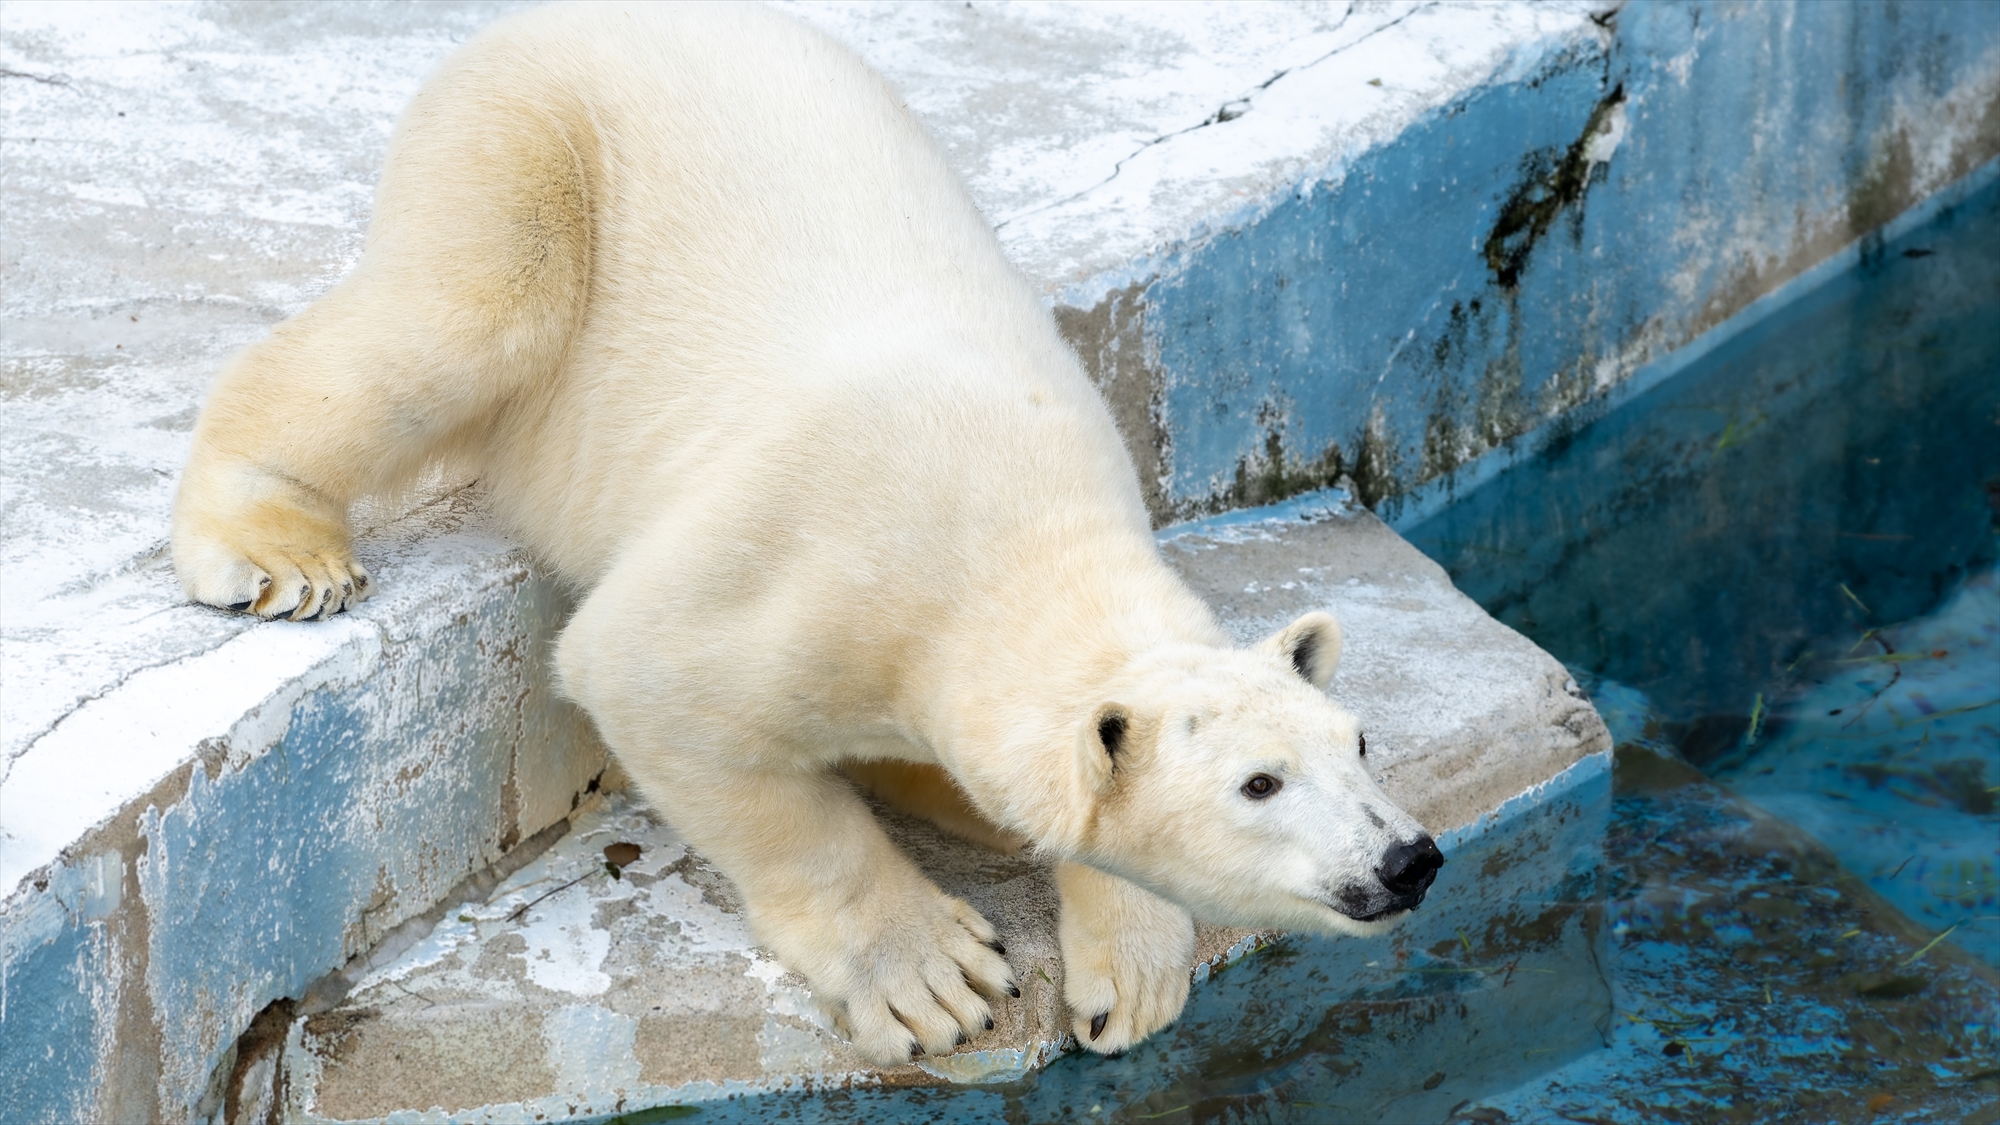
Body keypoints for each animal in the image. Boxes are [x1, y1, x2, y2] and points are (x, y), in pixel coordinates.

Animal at [172, 4, 1440, 1064]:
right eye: (1257, 784)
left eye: (1358, 743)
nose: (1407, 858)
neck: (1006, 532)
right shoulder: (806, 576)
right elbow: (660, 689)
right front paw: (931, 975)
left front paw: (1124, 976)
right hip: (530, 144)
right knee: (457, 322)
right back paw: (279, 544)